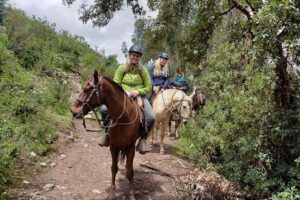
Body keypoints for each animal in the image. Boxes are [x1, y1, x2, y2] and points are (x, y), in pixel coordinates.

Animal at [70, 70, 141, 200]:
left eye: (87, 89)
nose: (73, 110)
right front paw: (112, 194)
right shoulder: (114, 147)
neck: (123, 118)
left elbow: (130, 172)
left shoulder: (131, 148)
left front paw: (131, 195)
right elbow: (114, 169)